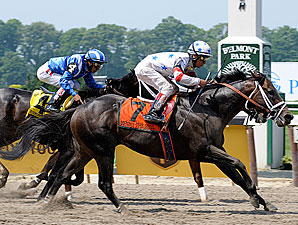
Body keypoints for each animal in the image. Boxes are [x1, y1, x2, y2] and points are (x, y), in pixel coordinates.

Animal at [3, 71, 294, 213]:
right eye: (270, 91)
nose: (288, 115)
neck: (209, 107)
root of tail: (79, 107)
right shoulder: (204, 151)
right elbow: (240, 164)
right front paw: (257, 197)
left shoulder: (214, 150)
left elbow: (237, 174)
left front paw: (263, 202)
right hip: (103, 149)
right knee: (102, 182)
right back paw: (122, 208)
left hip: (83, 150)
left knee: (62, 173)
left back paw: (45, 203)